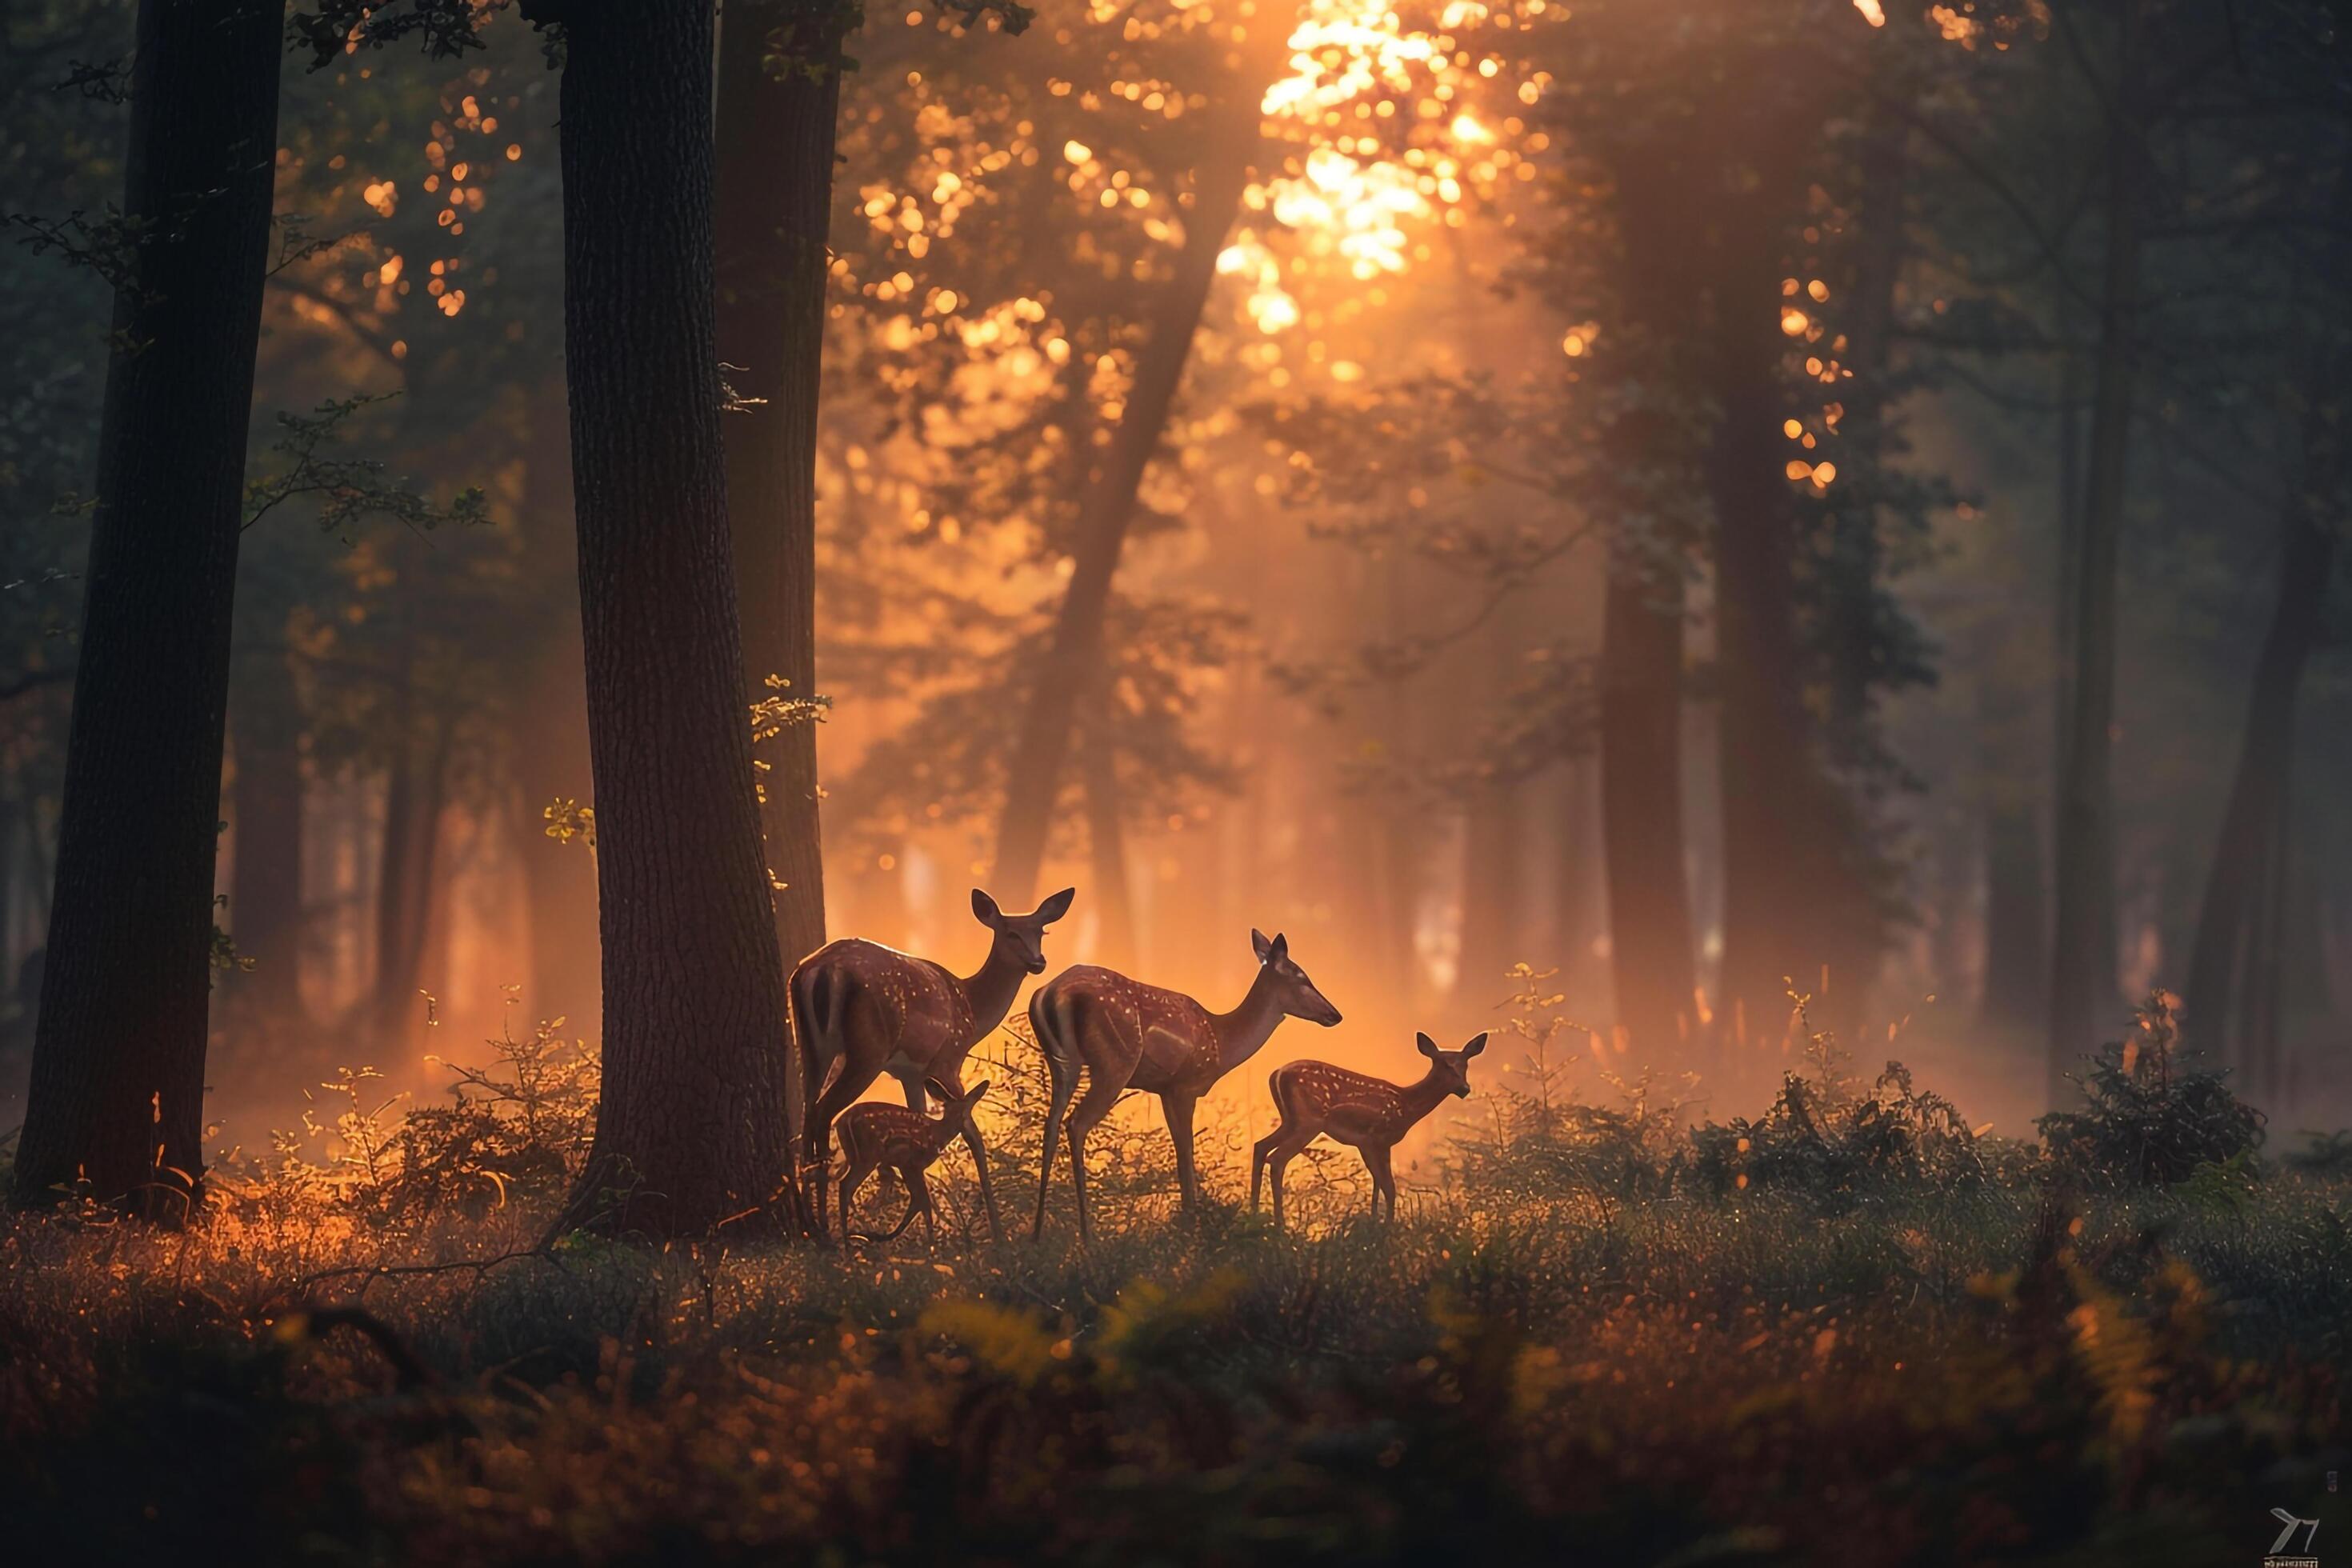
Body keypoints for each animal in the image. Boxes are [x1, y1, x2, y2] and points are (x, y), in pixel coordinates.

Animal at [837, 1071, 992, 1241]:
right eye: (963, 1107)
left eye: (967, 1107)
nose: (964, 1122)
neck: (937, 1135)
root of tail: (844, 1120)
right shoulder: (911, 1162)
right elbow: (923, 1202)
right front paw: (932, 1243)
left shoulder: (907, 1166)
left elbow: (919, 1200)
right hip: (868, 1155)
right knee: (846, 1185)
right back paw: (853, 1236)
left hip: (854, 1156)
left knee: (846, 1186)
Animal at [1030, 926, 1345, 1241]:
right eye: (1302, 977)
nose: (1335, 1014)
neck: (1223, 1043)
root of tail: (1051, 993)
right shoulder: (1186, 1086)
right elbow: (1186, 1150)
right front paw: (1190, 1223)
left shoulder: (1165, 1089)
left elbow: (1180, 1150)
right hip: (1115, 1063)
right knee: (1076, 1123)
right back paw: (1087, 1237)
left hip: (1061, 1062)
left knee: (1051, 1125)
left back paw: (1037, 1233)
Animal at [1251, 1034, 1486, 1231]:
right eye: (1445, 1064)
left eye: (1466, 1064)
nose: (1465, 1089)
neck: (1407, 1106)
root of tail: (1277, 1074)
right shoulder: (1379, 1138)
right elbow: (1389, 1187)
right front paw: (1388, 1229)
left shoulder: (1367, 1143)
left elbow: (1377, 1184)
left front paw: (1375, 1222)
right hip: (1309, 1121)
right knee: (1277, 1159)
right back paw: (1280, 1225)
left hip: (1290, 1120)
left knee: (1260, 1146)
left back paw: (1254, 1215)